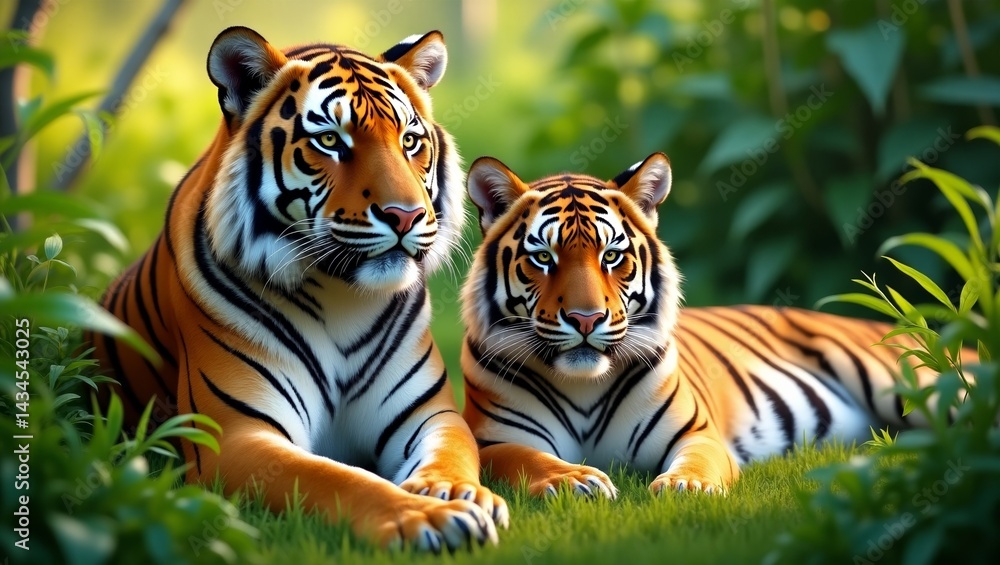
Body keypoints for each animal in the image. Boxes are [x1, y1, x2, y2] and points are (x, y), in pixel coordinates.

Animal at [91, 26, 507, 551]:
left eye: (411, 142)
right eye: (329, 140)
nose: (406, 215)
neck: (342, 297)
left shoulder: (430, 415)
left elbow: (452, 455)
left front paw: (457, 493)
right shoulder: (236, 434)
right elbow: (339, 477)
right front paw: (429, 515)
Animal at [460, 152, 966, 498]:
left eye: (612, 256)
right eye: (543, 258)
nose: (587, 319)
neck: (583, 384)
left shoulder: (697, 433)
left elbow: (697, 463)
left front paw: (686, 487)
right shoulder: (494, 440)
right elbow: (526, 459)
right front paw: (575, 480)